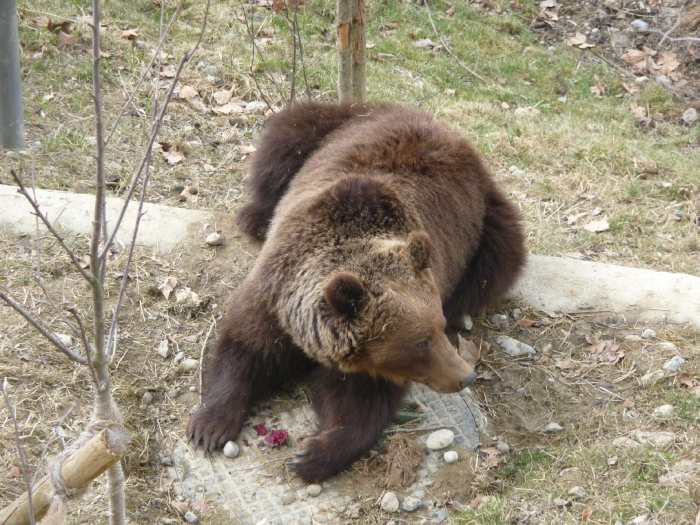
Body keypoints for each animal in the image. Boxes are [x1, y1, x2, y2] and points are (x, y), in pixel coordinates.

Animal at [186, 100, 524, 482]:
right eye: (421, 342)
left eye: (436, 329)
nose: (465, 376)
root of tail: (449, 130)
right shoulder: (273, 298)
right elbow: (245, 348)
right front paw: (209, 426)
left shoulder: (368, 357)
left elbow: (360, 401)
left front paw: (314, 453)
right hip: (330, 125)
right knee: (282, 142)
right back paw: (255, 216)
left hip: (488, 228)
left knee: (497, 262)